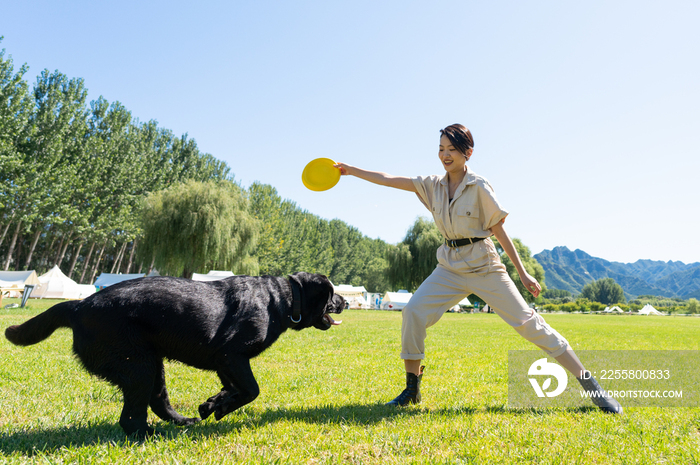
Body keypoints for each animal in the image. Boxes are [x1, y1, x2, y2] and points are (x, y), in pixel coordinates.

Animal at [5, 272, 344, 436]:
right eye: (332, 293)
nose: (345, 302)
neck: (281, 299)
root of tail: (78, 306)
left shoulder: (225, 362)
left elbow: (234, 388)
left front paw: (213, 404)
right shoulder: (232, 355)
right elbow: (251, 389)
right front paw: (220, 407)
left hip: (151, 365)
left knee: (157, 402)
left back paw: (183, 422)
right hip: (139, 367)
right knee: (131, 417)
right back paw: (150, 435)